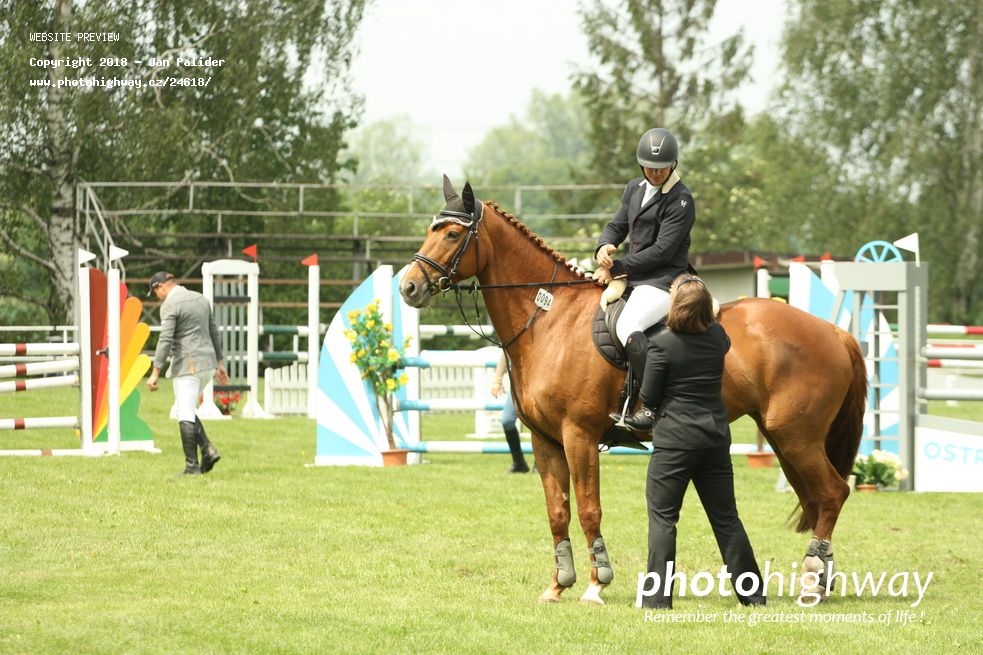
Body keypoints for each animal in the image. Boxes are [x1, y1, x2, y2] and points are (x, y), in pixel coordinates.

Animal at [399, 179, 867, 605]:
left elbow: (589, 508)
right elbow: (558, 511)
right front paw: (558, 585)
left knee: (832, 493)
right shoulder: (545, 440)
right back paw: (820, 578)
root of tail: (833, 331)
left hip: (796, 436)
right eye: (430, 229)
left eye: (452, 234)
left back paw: (814, 580)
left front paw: (596, 584)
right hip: (784, 438)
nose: (408, 287)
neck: (548, 318)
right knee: (817, 498)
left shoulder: (579, 435)